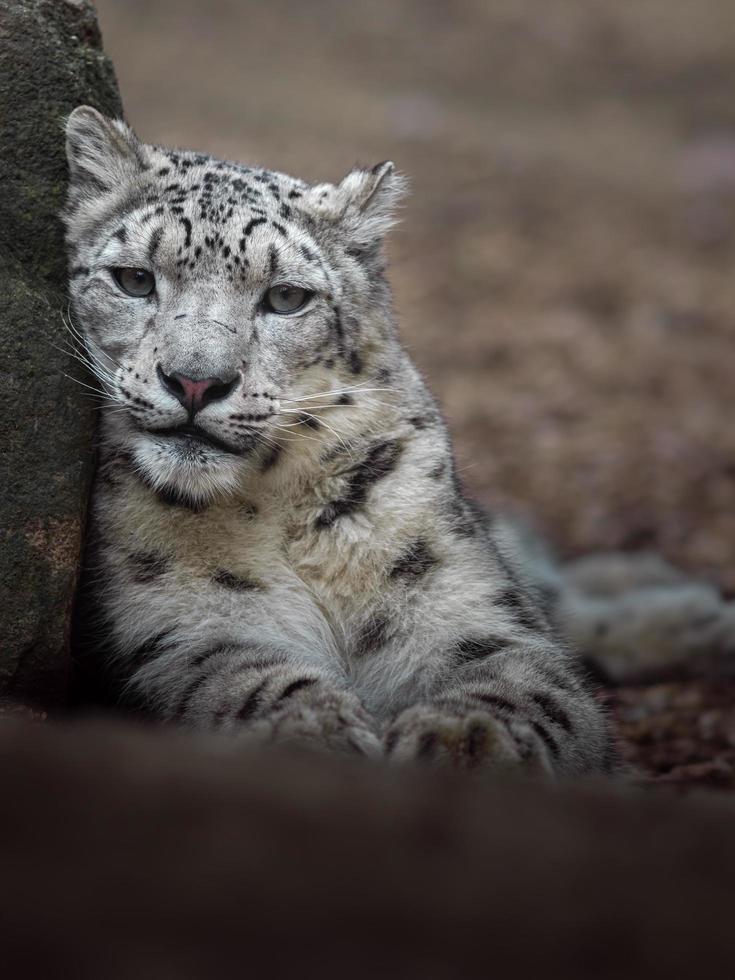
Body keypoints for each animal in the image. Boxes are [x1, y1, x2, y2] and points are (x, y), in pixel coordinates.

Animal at [61, 107, 732, 776]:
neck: (275, 505)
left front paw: (466, 740)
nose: (196, 381)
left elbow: (522, 676)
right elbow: (238, 677)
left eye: (285, 296)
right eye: (133, 280)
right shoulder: (181, 621)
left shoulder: (460, 601)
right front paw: (317, 734)